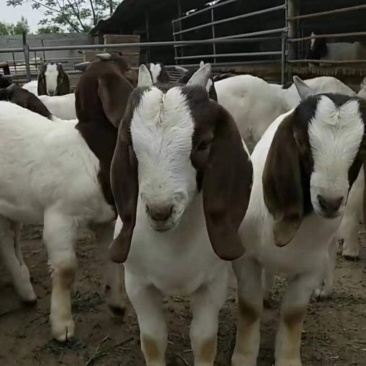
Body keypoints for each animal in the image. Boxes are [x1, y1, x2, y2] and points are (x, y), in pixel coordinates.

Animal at [0, 53, 136, 342]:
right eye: (129, 72)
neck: (90, 147)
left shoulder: (104, 220)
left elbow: (110, 256)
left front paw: (117, 306)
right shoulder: (59, 217)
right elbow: (65, 269)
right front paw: (62, 326)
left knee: (9, 234)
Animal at [107, 63, 253, 366]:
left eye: (203, 145)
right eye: (130, 146)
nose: (160, 211)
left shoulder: (213, 284)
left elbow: (204, 341)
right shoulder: (137, 284)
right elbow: (153, 340)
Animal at [232, 76, 366, 366]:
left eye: (362, 148)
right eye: (301, 142)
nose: (330, 202)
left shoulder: (309, 268)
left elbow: (293, 314)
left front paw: (288, 358)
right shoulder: (246, 258)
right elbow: (249, 308)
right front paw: (244, 356)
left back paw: (325, 289)